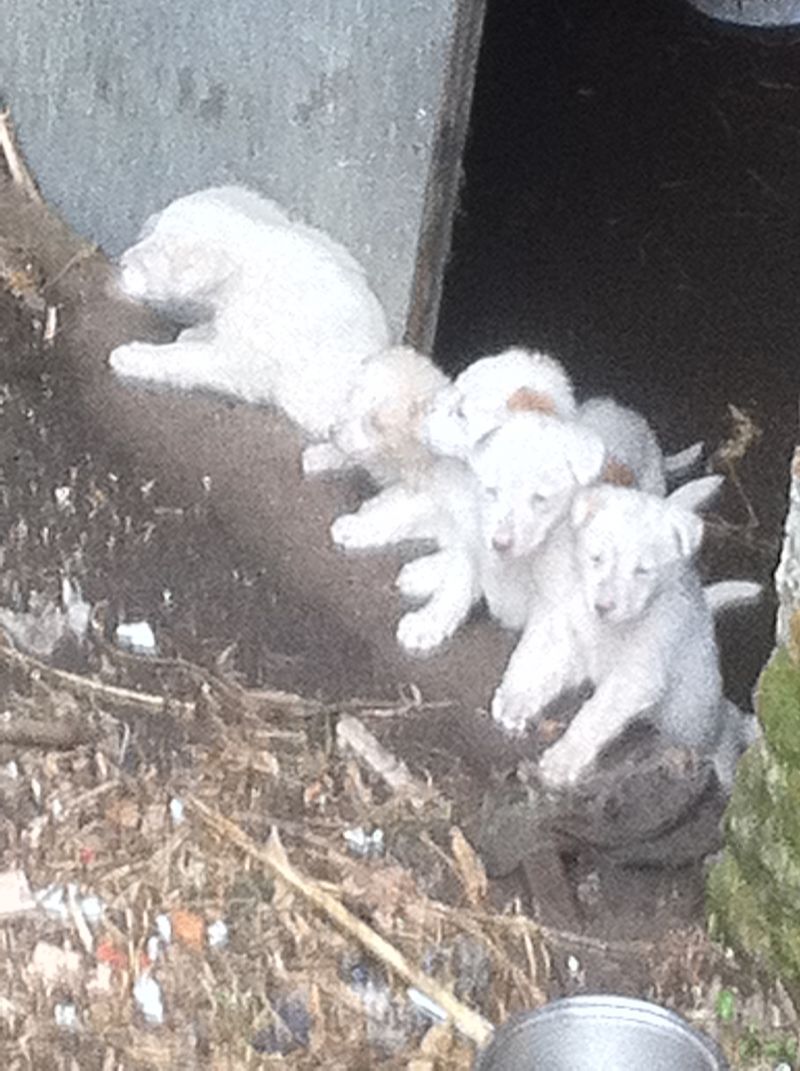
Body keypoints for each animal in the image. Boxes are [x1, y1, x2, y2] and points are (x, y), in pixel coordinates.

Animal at [109, 183, 391, 434]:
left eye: (156, 252)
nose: (123, 260)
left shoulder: (239, 359)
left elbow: (184, 357)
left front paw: (133, 356)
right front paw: (199, 332)